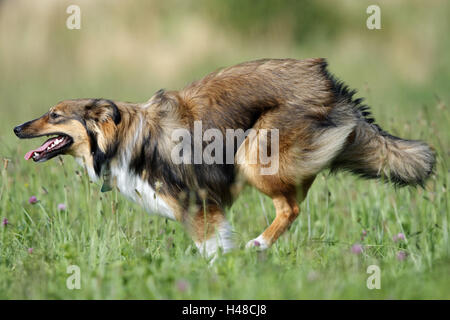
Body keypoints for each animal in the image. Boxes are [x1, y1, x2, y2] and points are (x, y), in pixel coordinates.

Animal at [14, 57, 436, 258]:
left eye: (54, 115)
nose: (16, 128)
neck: (120, 136)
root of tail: (325, 80)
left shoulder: (198, 204)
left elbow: (212, 248)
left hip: (254, 154)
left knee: (291, 208)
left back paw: (259, 245)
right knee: (297, 195)